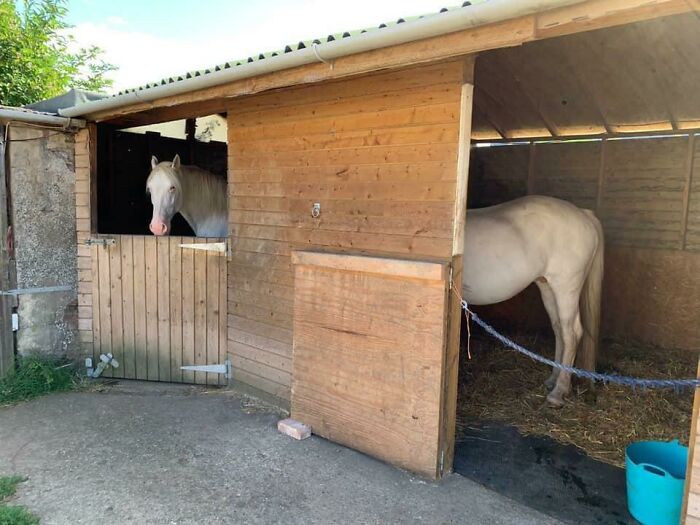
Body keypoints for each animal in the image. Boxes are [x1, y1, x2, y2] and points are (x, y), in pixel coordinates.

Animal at [462, 195, 604, 407]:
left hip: (566, 288)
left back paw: (558, 392)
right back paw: (553, 380)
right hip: (548, 289)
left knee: (572, 333)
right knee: (559, 331)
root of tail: (584, 214)